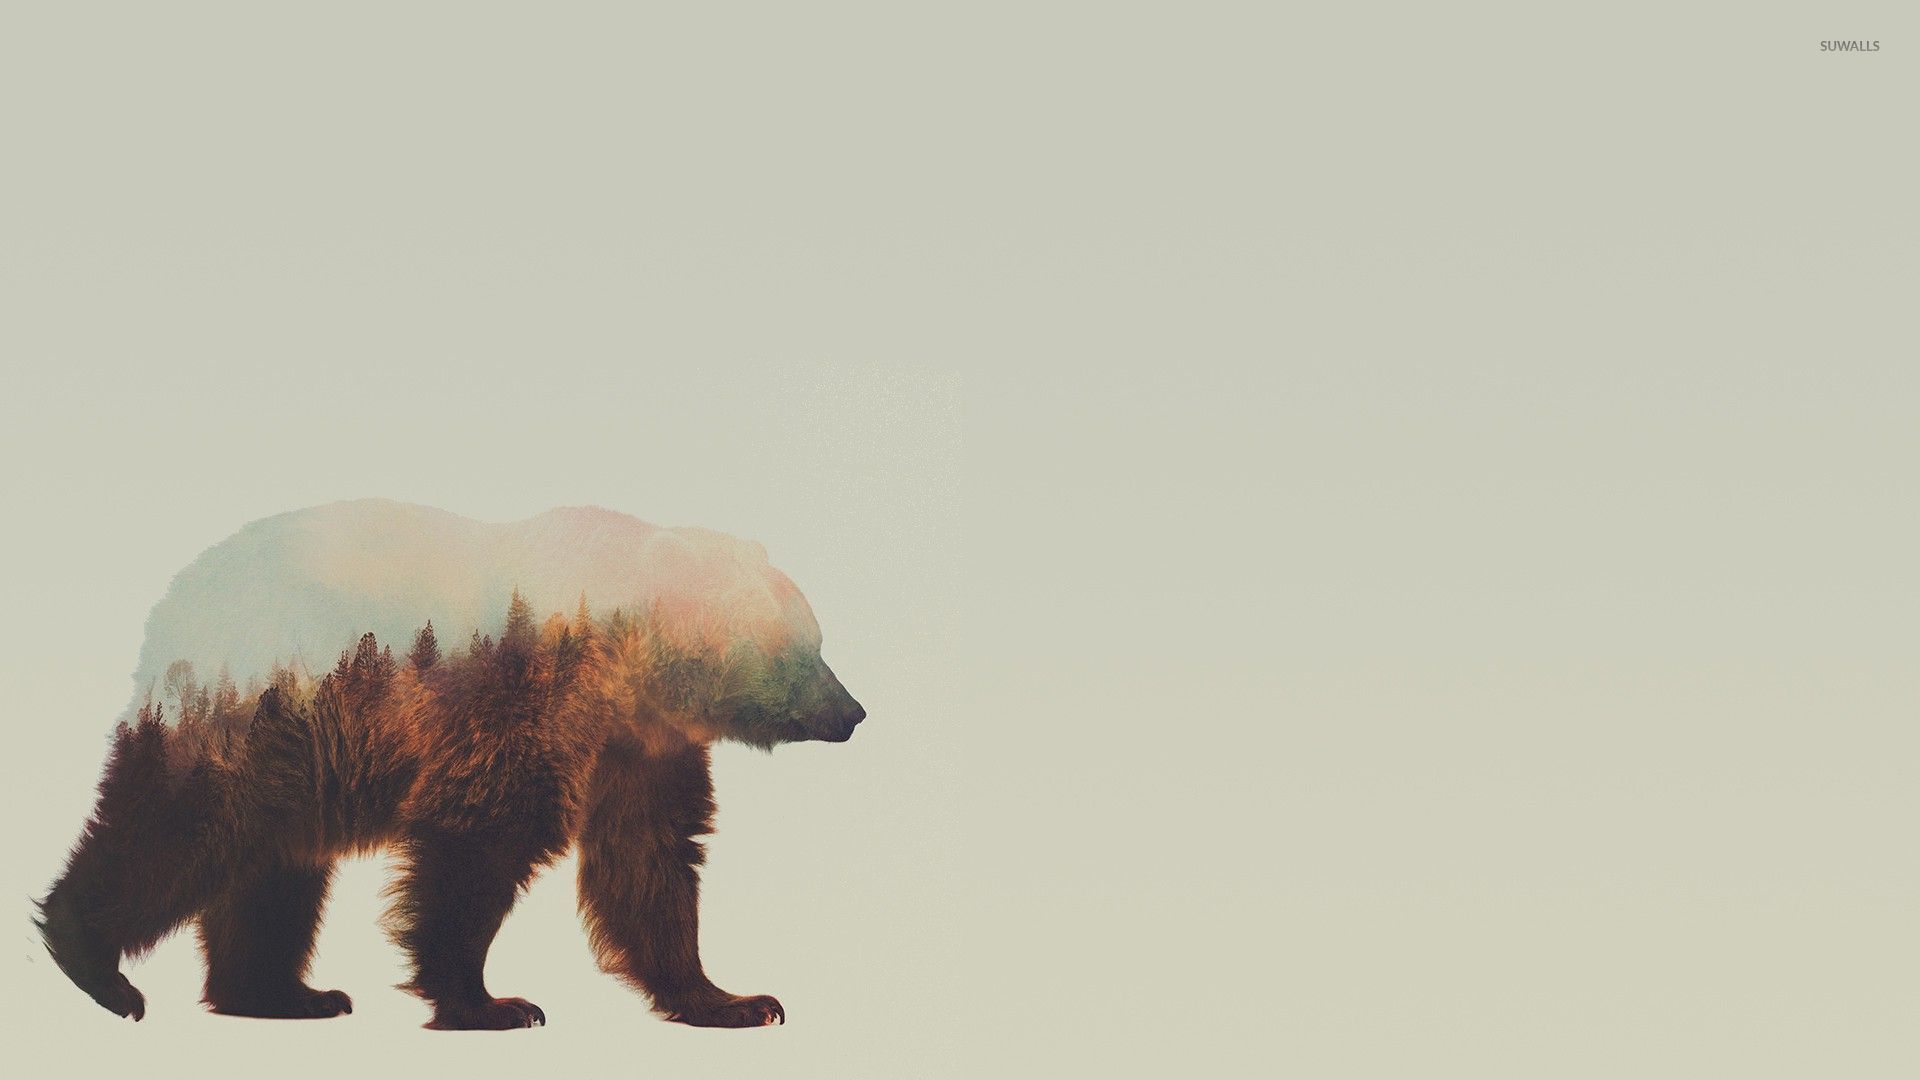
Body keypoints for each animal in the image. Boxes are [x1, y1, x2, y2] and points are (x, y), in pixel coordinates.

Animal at [36, 500, 866, 1029]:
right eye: (804, 646)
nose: (853, 711)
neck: (618, 653)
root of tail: (171, 605)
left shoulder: (636, 741)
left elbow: (651, 855)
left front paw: (734, 1000)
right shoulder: (514, 696)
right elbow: (479, 840)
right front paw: (493, 1004)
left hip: (301, 748)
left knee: (276, 861)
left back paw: (282, 993)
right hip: (258, 703)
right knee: (183, 831)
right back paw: (96, 965)